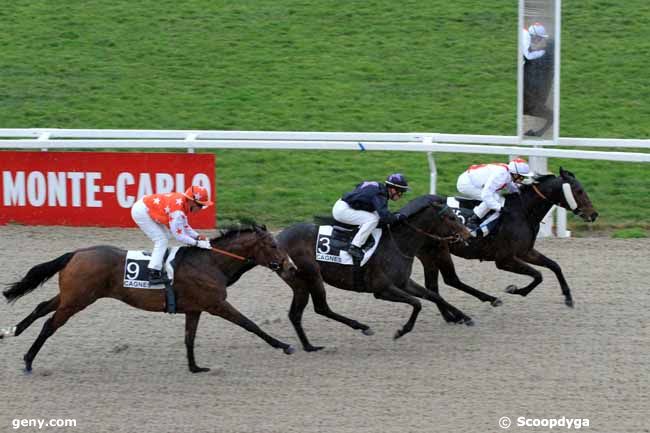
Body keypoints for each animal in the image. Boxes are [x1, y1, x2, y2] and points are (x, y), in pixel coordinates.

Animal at [1, 223, 296, 372]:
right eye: (273, 245)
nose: (291, 267)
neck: (210, 262)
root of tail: (76, 253)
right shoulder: (216, 304)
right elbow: (250, 324)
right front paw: (284, 345)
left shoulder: (195, 308)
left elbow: (189, 338)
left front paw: (195, 367)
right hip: (78, 300)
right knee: (49, 324)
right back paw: (28, 360)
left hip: (72, 294)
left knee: (41, 307)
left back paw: (10, 331)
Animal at [416, 169, 596, 310]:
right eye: (579, 190)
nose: (594, 214)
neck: (522, 212)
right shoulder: (504, 260)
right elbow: (538, 275)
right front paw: (515, 289)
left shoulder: (525, 252)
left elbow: (554, 266)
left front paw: (568, 297)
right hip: (437, 251)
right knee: (449, 280)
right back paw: (490, 300)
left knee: (440, 283)